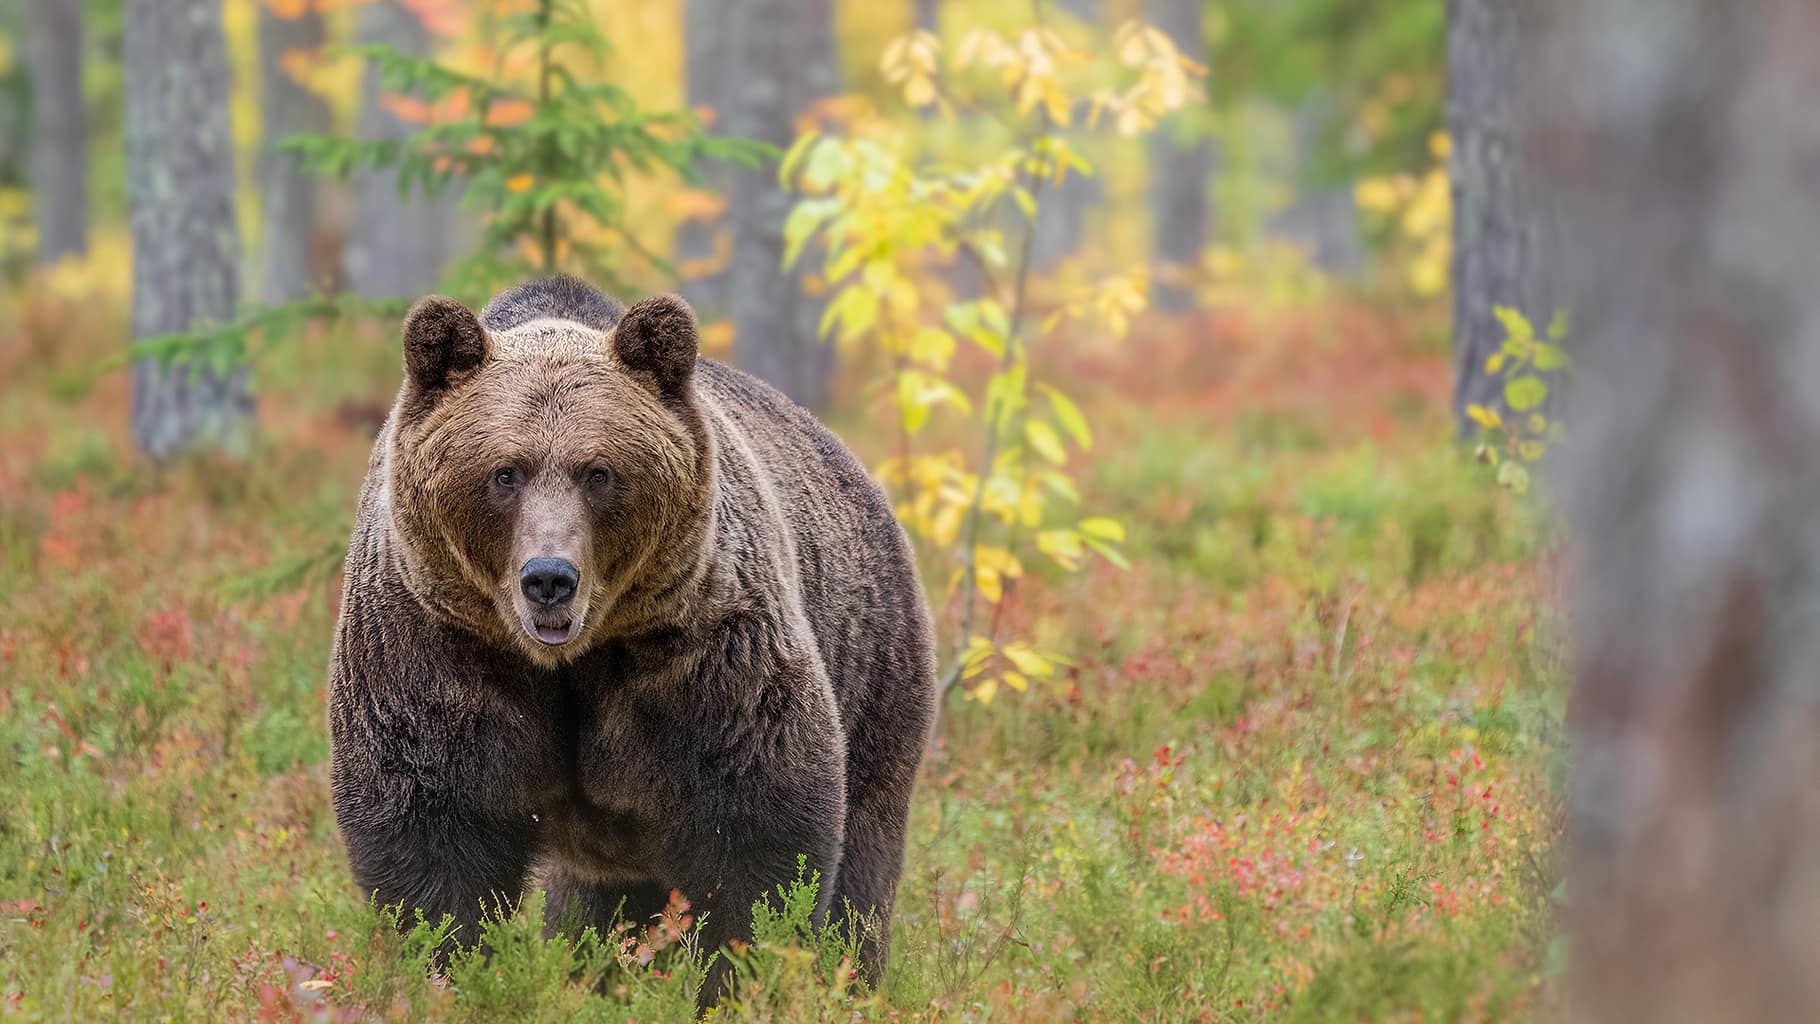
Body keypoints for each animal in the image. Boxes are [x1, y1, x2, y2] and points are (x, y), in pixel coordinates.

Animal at [326, 275, 937, 1007]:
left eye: (599, 471)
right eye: (505, 473)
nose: (549, 578)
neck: (567, 661)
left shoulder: (698, 653)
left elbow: (755, 828)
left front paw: (736, 981)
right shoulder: (434, 643)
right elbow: (432, 836)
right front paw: (453, 975)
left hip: (871, 661)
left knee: (864, 859)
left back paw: (849, 980)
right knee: (595, 906)